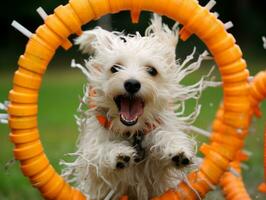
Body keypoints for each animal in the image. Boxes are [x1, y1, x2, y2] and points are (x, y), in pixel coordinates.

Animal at [60, 14, 214, 200]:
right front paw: (118, 154)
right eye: (115, 68)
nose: (132, 84)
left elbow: (164, 136)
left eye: (151, 70)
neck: (132, 132)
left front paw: (178, 151)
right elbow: (98, 153)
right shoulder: (96, 165)